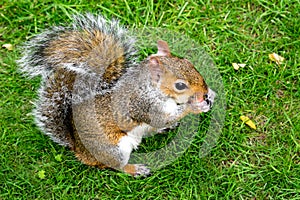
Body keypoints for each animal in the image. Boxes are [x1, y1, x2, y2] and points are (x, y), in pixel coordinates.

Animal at [18, 13, 216, 177]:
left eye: (188, 62)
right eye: (180, 85)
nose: (204, 92)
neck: (152, 89)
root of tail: (78, 148)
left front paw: (210, 95)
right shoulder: (142, 105)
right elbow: (163, 118)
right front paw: (194, 106)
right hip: (115, 149)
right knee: (116, 166)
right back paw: (135, 169)